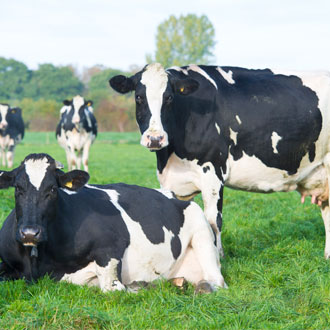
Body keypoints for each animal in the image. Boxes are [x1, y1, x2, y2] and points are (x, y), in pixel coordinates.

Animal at [0, 153, 226, 292]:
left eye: (53, 189)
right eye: (18, 188)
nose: (30, 233)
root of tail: (173, 195)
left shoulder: (110, 250)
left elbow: (113, 288)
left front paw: (139, 286)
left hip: (203, 233)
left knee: (216, 281)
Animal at [109, 63, 330, 260]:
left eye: (169, 97)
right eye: (138, 97)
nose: (155, 138)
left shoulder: (212, 170)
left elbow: (213, 220)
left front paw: (217, 258)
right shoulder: (173, 181)